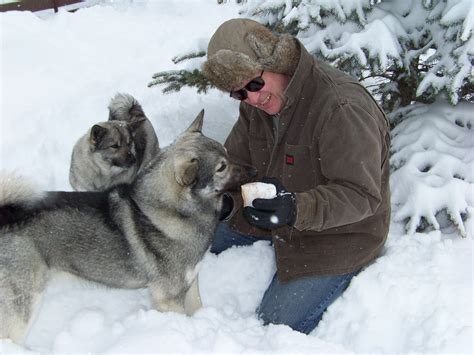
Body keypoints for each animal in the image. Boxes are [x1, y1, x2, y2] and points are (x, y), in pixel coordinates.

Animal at [0, 111, 258, 344]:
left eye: (227, 154)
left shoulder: (191, 283)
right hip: (25, 304)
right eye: (221, 168)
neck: (173, 210)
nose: (254, 171)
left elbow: (197, 309)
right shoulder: (168, 298)